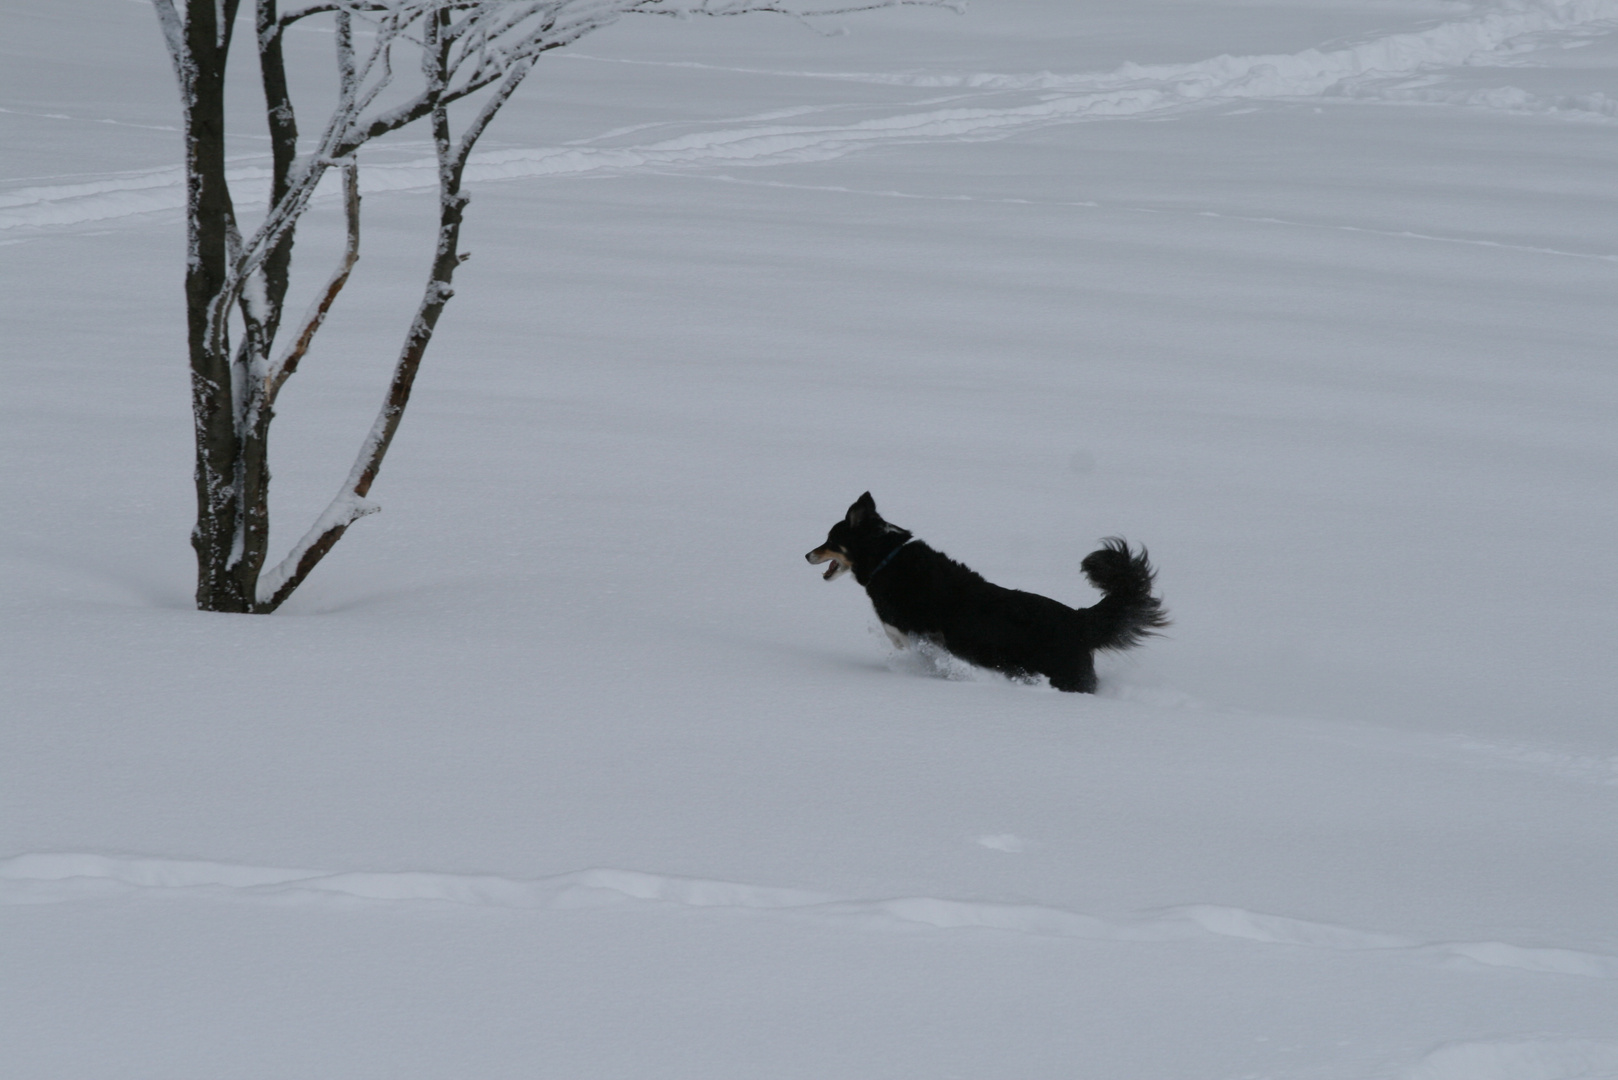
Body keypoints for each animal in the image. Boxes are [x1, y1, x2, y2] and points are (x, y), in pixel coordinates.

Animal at [805, 492, 1164, 693]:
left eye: (830, 540)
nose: (807, 554)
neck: (886, 557)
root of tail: (1079, 620)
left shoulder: (921, 635)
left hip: (1067, 676)